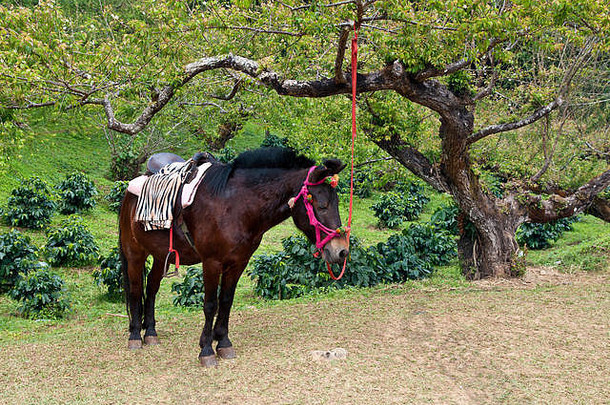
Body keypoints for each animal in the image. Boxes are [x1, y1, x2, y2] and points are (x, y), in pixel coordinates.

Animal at [119, 148, 346, 366]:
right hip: (134, 253)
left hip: (160, 255)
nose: (341, 251)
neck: (234, 205)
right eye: (321, 205)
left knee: (151, 288)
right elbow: (211, 304)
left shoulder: (238, 263)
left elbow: (226, 301)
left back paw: (150, 332)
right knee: (135, 290)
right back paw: (135, 335)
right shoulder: (211, 262)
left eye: (336, 203)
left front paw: (223, 343)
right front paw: (206, 350)